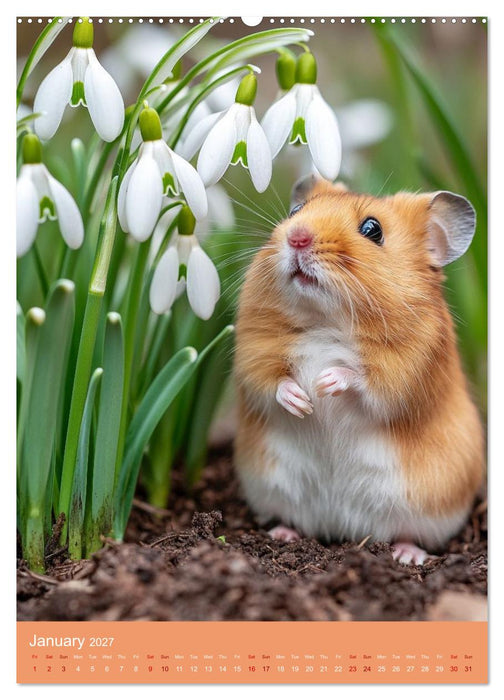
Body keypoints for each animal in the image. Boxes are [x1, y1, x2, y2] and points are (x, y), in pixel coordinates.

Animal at [234, 176, 484, 565]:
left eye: (372, 230)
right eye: (295, 211)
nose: (298, 236)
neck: (325, 319)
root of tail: (343, 527)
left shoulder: (404, 371)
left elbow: (363, 380)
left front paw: (324, 383)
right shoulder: (253, 353)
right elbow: (272, 382)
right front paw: (303, 402)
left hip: (424, 510)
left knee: (409, 534)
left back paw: (406, 556)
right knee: (293, 519)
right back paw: (283, 534)